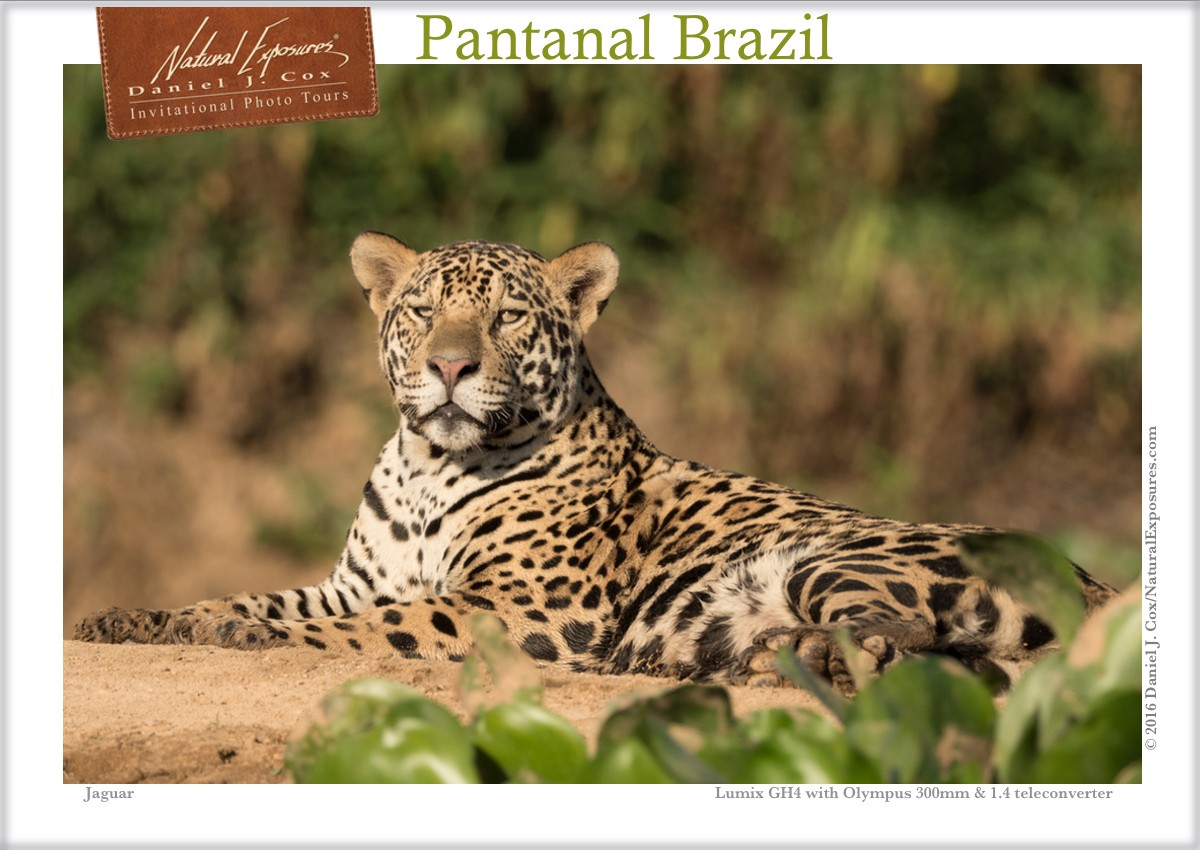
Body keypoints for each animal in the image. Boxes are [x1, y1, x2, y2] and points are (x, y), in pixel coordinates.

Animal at [75, 232, 1117, 696]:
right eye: (422, 312)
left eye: (506, 317)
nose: (449, 367)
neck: (428, 468)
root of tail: (1100, 580)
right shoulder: (351, 580)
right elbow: (259, 598)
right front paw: (139, 619)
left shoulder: (525, 613)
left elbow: (373, 629)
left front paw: (233, 637)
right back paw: (758, 661)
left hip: (840, 557)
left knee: (925, 647)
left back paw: (805, 661)